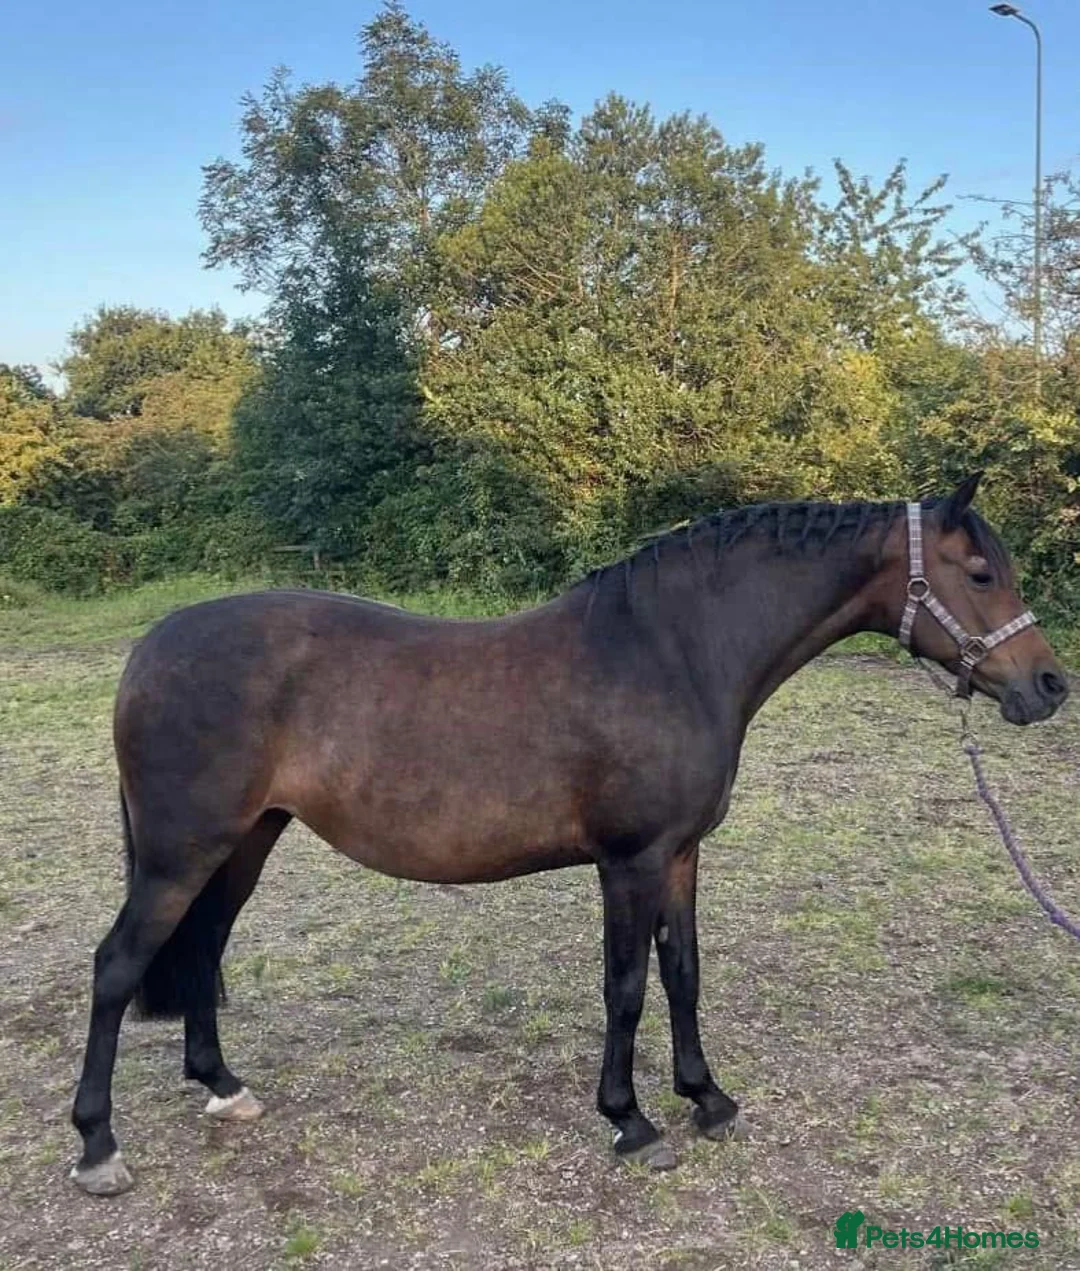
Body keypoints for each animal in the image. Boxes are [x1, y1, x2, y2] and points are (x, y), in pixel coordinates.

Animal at [70, 473, 1069, 1195]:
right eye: (981, 573)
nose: (1049, 685)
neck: (673, 653)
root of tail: (151, 648)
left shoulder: (681, 855)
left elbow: (683, 973)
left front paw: (707, 1097)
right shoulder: (629, 862)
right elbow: (625, 988)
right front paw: (632, 1121)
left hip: (244, 842)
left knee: (203, 947)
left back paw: (224, 1088)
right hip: (181, 852)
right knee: (118, 965)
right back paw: (98, 1146)